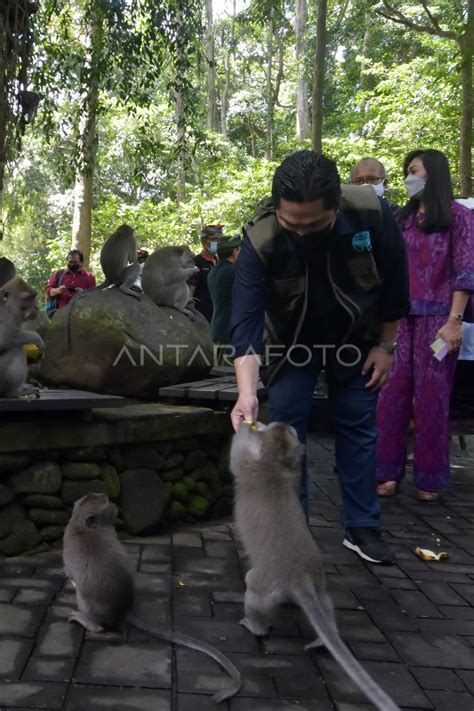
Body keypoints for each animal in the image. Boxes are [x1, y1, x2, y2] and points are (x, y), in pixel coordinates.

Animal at [63, 496, 241, 708]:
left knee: (88, 605)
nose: (115, 505)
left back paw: (89, 622)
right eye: (107, 502)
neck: (83, 526)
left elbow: (71, 573)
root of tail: (123, 609)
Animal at [230, 422, 400, 711]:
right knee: (326, 605)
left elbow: (235, 456)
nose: (283, 423)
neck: (275, 462)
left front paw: (244, 423)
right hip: (319, 589)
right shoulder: (291, 469)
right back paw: (321, 640)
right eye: (289, 431)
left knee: (253, 586)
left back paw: (254, 626)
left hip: (264, 586)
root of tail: (300, 580)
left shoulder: (249, 465)